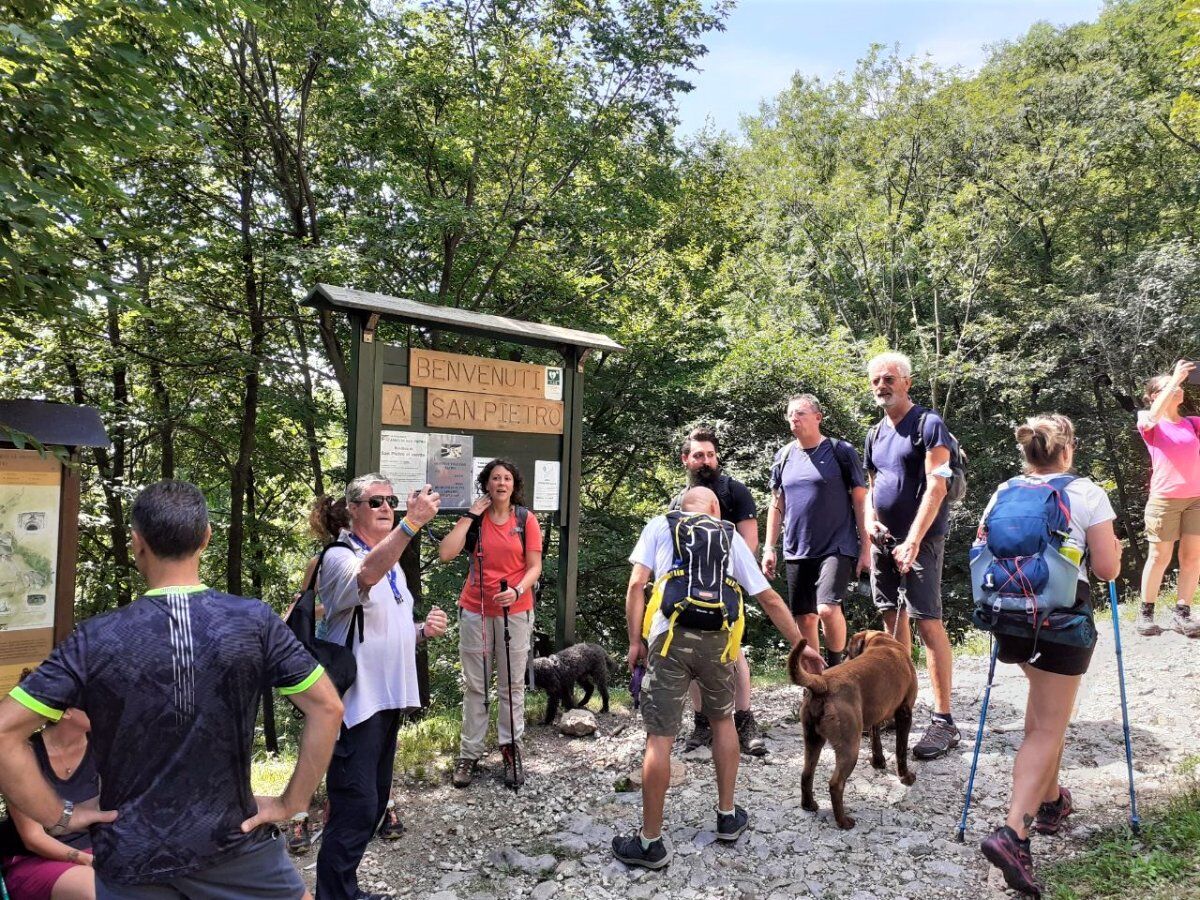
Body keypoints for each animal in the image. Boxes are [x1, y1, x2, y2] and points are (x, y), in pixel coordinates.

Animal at [787, 628, 916, 830]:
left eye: (848, 651)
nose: (844, 658)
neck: (884, 642)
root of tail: (822, 682)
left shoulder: (874, 716)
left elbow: (876, 741)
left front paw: (878, 762)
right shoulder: (904, 712)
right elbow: (901, 750)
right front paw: (905, 777)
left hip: (813, 740)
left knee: (806, 774)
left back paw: (809, 805)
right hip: (850, 746)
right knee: (836, 784)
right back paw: (843, 821)